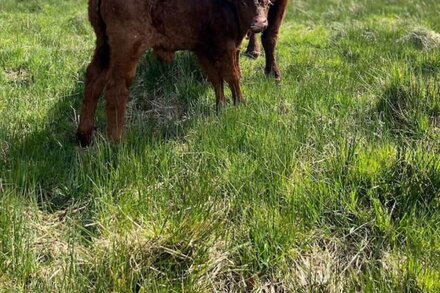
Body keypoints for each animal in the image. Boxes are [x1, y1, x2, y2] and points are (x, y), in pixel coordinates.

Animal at [77, 0, 270, 146]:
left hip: (103, 46)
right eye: (244, 2)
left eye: (268, 3)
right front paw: (240, 104)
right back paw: (117, 142)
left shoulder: (203, 50)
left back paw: (84, 136)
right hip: (127, 51)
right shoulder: (225, 48)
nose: (260, 24)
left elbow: (216, 79)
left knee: (93, 78)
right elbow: (232, 76)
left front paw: (220, 106)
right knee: (116, 88)